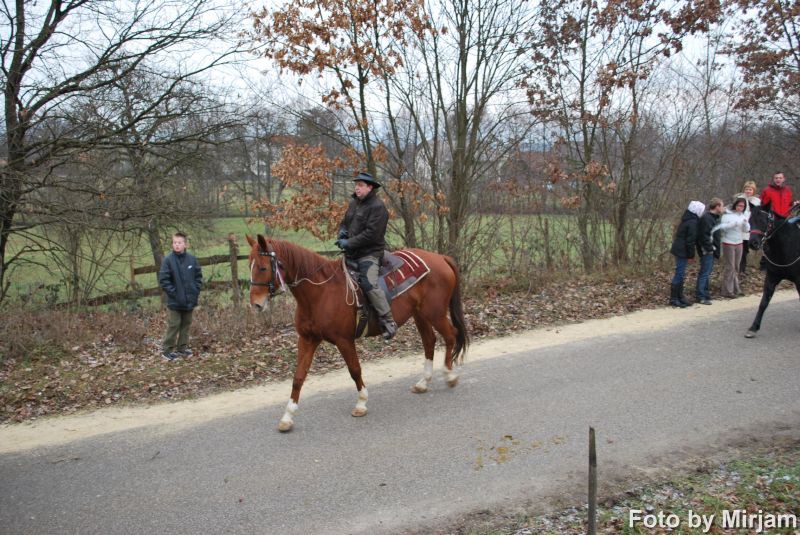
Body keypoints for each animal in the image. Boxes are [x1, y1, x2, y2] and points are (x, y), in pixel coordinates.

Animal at [245, 234, 468, 432]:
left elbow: (355, 370)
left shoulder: (344, 340)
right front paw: (287, 417)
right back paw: (423, 383)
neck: (321, 292)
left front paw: (361, 403)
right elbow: (298, 377)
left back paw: (449, 375)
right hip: (420, 315)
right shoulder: (307, 340)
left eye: (263, 267)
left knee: (451, 335)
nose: (256, 304)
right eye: (250, 266)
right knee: (429, 341)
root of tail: (441, 258)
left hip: (435, 313)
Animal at [744, 206, 800, 340]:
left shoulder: (799, 279)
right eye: (750, 220)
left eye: (763, 221)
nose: (752, 243)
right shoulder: (772, 276)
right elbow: (764, 302)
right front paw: (753, 327)